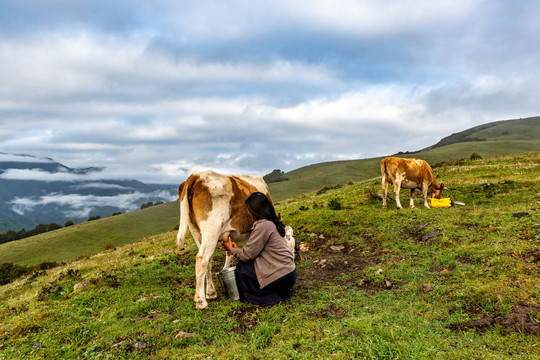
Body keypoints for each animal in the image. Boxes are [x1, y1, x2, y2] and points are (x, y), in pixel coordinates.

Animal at [176, 170, 272, 308]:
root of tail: (196, 175)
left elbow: (230, 253)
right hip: (212, 229)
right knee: (202, 258)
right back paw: (201, 301)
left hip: (196, 232)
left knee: (208, 260)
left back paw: (211, 292)